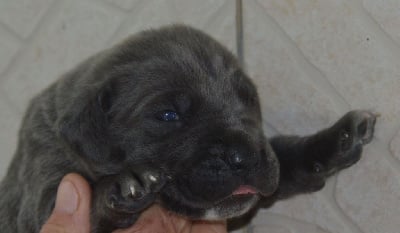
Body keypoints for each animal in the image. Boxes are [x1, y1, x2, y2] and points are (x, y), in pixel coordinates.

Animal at [0, 24, 376, 232]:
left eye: (249, 99)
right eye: (168, 115)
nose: (244, 157)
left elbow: (285, 158)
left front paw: (336, 139)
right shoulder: (44, 192)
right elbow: (85, 199)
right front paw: (123, 185)